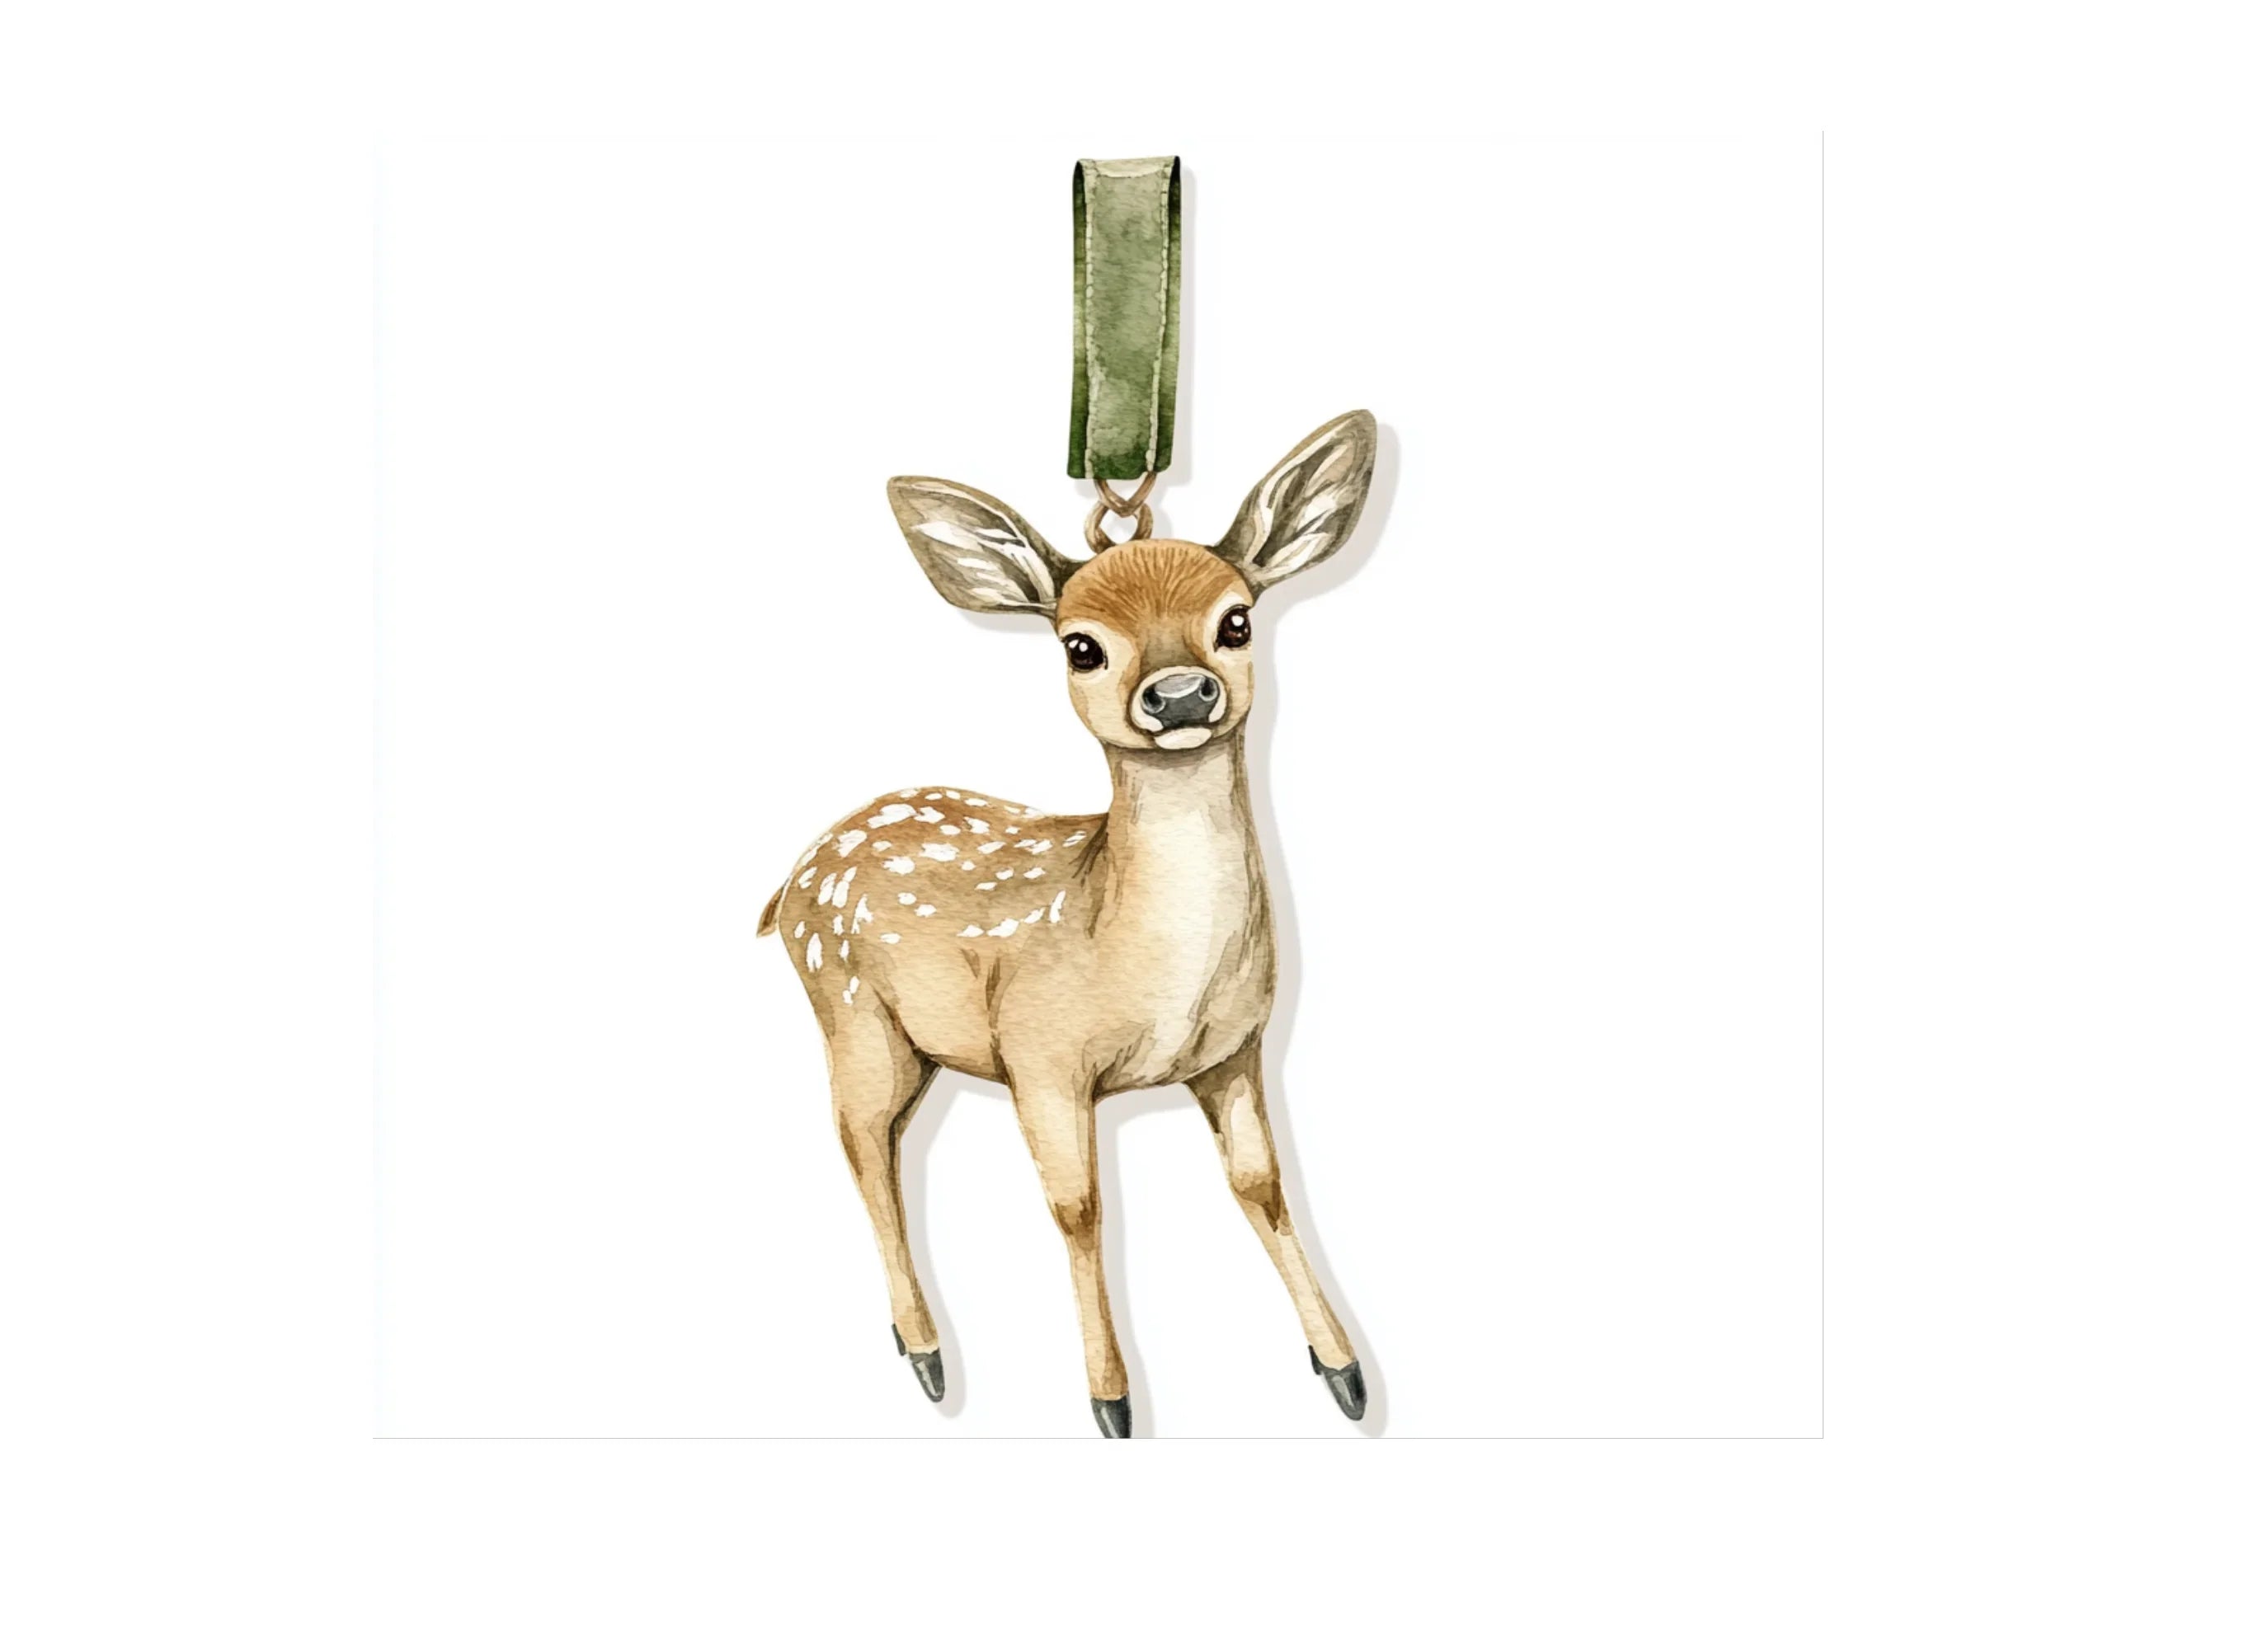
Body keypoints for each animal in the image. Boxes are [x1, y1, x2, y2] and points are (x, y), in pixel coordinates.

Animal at [757, 411, 1377, 1437]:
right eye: (1080, 645)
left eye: (1235, 619)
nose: (1179, 694)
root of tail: (789, 879)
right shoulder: (1040, 1053)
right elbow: (1078, 1205)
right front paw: (1110, 1399)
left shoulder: (1234, 1048)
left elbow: (1261, 1185)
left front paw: (1343, 1369)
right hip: (847, 1005)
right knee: (859, 1143)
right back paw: (926, 1352)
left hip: (915, 1041)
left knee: (881, 1144)